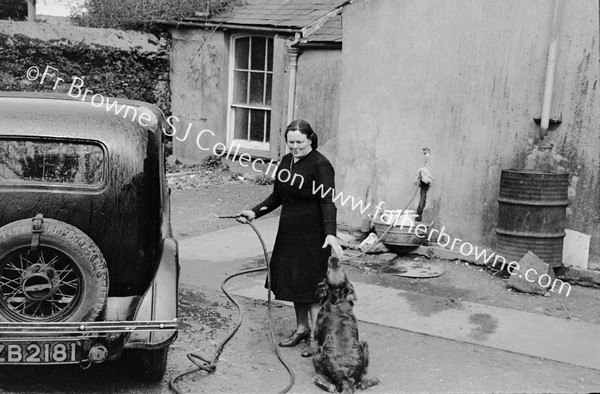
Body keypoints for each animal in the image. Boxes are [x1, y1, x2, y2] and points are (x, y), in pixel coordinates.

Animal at [310, 258, 380, 392]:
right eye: (343, 270)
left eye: (327, 270)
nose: (334, 258)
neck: (337, 302)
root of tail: (345, 379)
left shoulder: (316, 335)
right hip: (364, 345)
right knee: (362, 382)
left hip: (318, 353)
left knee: (325, 383)